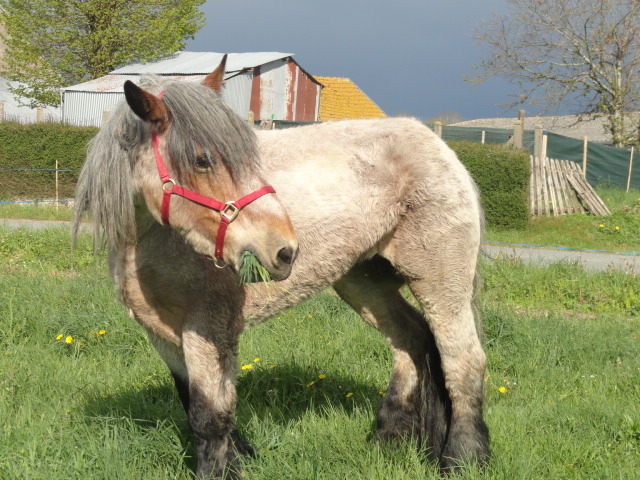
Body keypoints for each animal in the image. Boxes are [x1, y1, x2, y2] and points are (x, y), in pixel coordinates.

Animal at [72, 56, 488, 476]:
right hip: (364, 283)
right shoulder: (161, 334)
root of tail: (436, 144)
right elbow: (195, 405)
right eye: (202, 160)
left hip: (440, 281)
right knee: (409, 340)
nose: (285, 250)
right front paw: (239, 458)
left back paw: (463, 459)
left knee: (463, 362)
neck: (151, 242)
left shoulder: (208, 328)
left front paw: (219, 470)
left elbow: (208, 414)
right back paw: (389, 440)